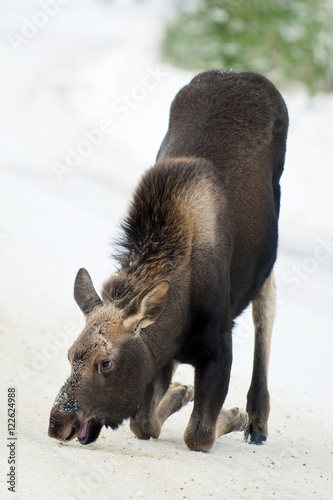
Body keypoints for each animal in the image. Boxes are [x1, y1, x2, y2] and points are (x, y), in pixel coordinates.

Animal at [48, 71, 286, 454]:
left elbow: (198, 433)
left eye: (106, 362)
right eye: (71, 355)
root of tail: (244, 75)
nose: (59, 424)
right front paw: (180, 392)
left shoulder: (220, 346)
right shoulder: (160, 355)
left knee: (266, 306)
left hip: (268, 250)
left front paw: (233, 416)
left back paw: (257, 421)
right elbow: (144, 422)